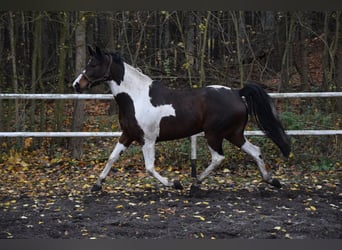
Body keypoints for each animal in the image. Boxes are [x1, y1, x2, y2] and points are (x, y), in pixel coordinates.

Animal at [73, 46, 292, 191]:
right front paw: (97, 184)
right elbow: (112, 158)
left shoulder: (147, 140)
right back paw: (271, 180)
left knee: (218, 157)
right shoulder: (127, 134)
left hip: (214, 134)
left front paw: (174, 183)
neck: (136, 97)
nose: (77, 84)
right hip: (234, 133)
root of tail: (237, 93)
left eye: (93, 64)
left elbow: (149, 168)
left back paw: (195, 183)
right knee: (256, 151)